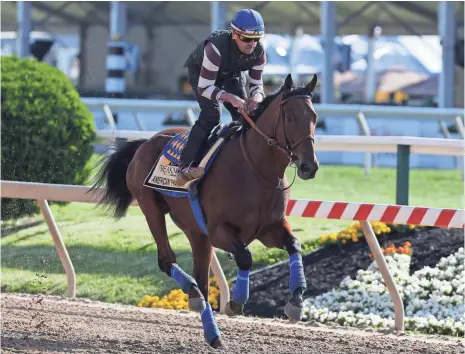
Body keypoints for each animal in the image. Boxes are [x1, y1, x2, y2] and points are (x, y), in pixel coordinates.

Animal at [90, 73, 320, 348]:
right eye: (289, 118)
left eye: (314, 117)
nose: (309, 166)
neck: (256, 170)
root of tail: (146, 142)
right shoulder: (219, 231)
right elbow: (245, 257)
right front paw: (235, 302)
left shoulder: (269, 228)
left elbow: (294, 244)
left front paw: (296, 302)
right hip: (151, 208)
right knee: (167, 261)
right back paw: (196, 298)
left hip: (195, 232)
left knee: (200, 278)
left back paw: (209, 326)